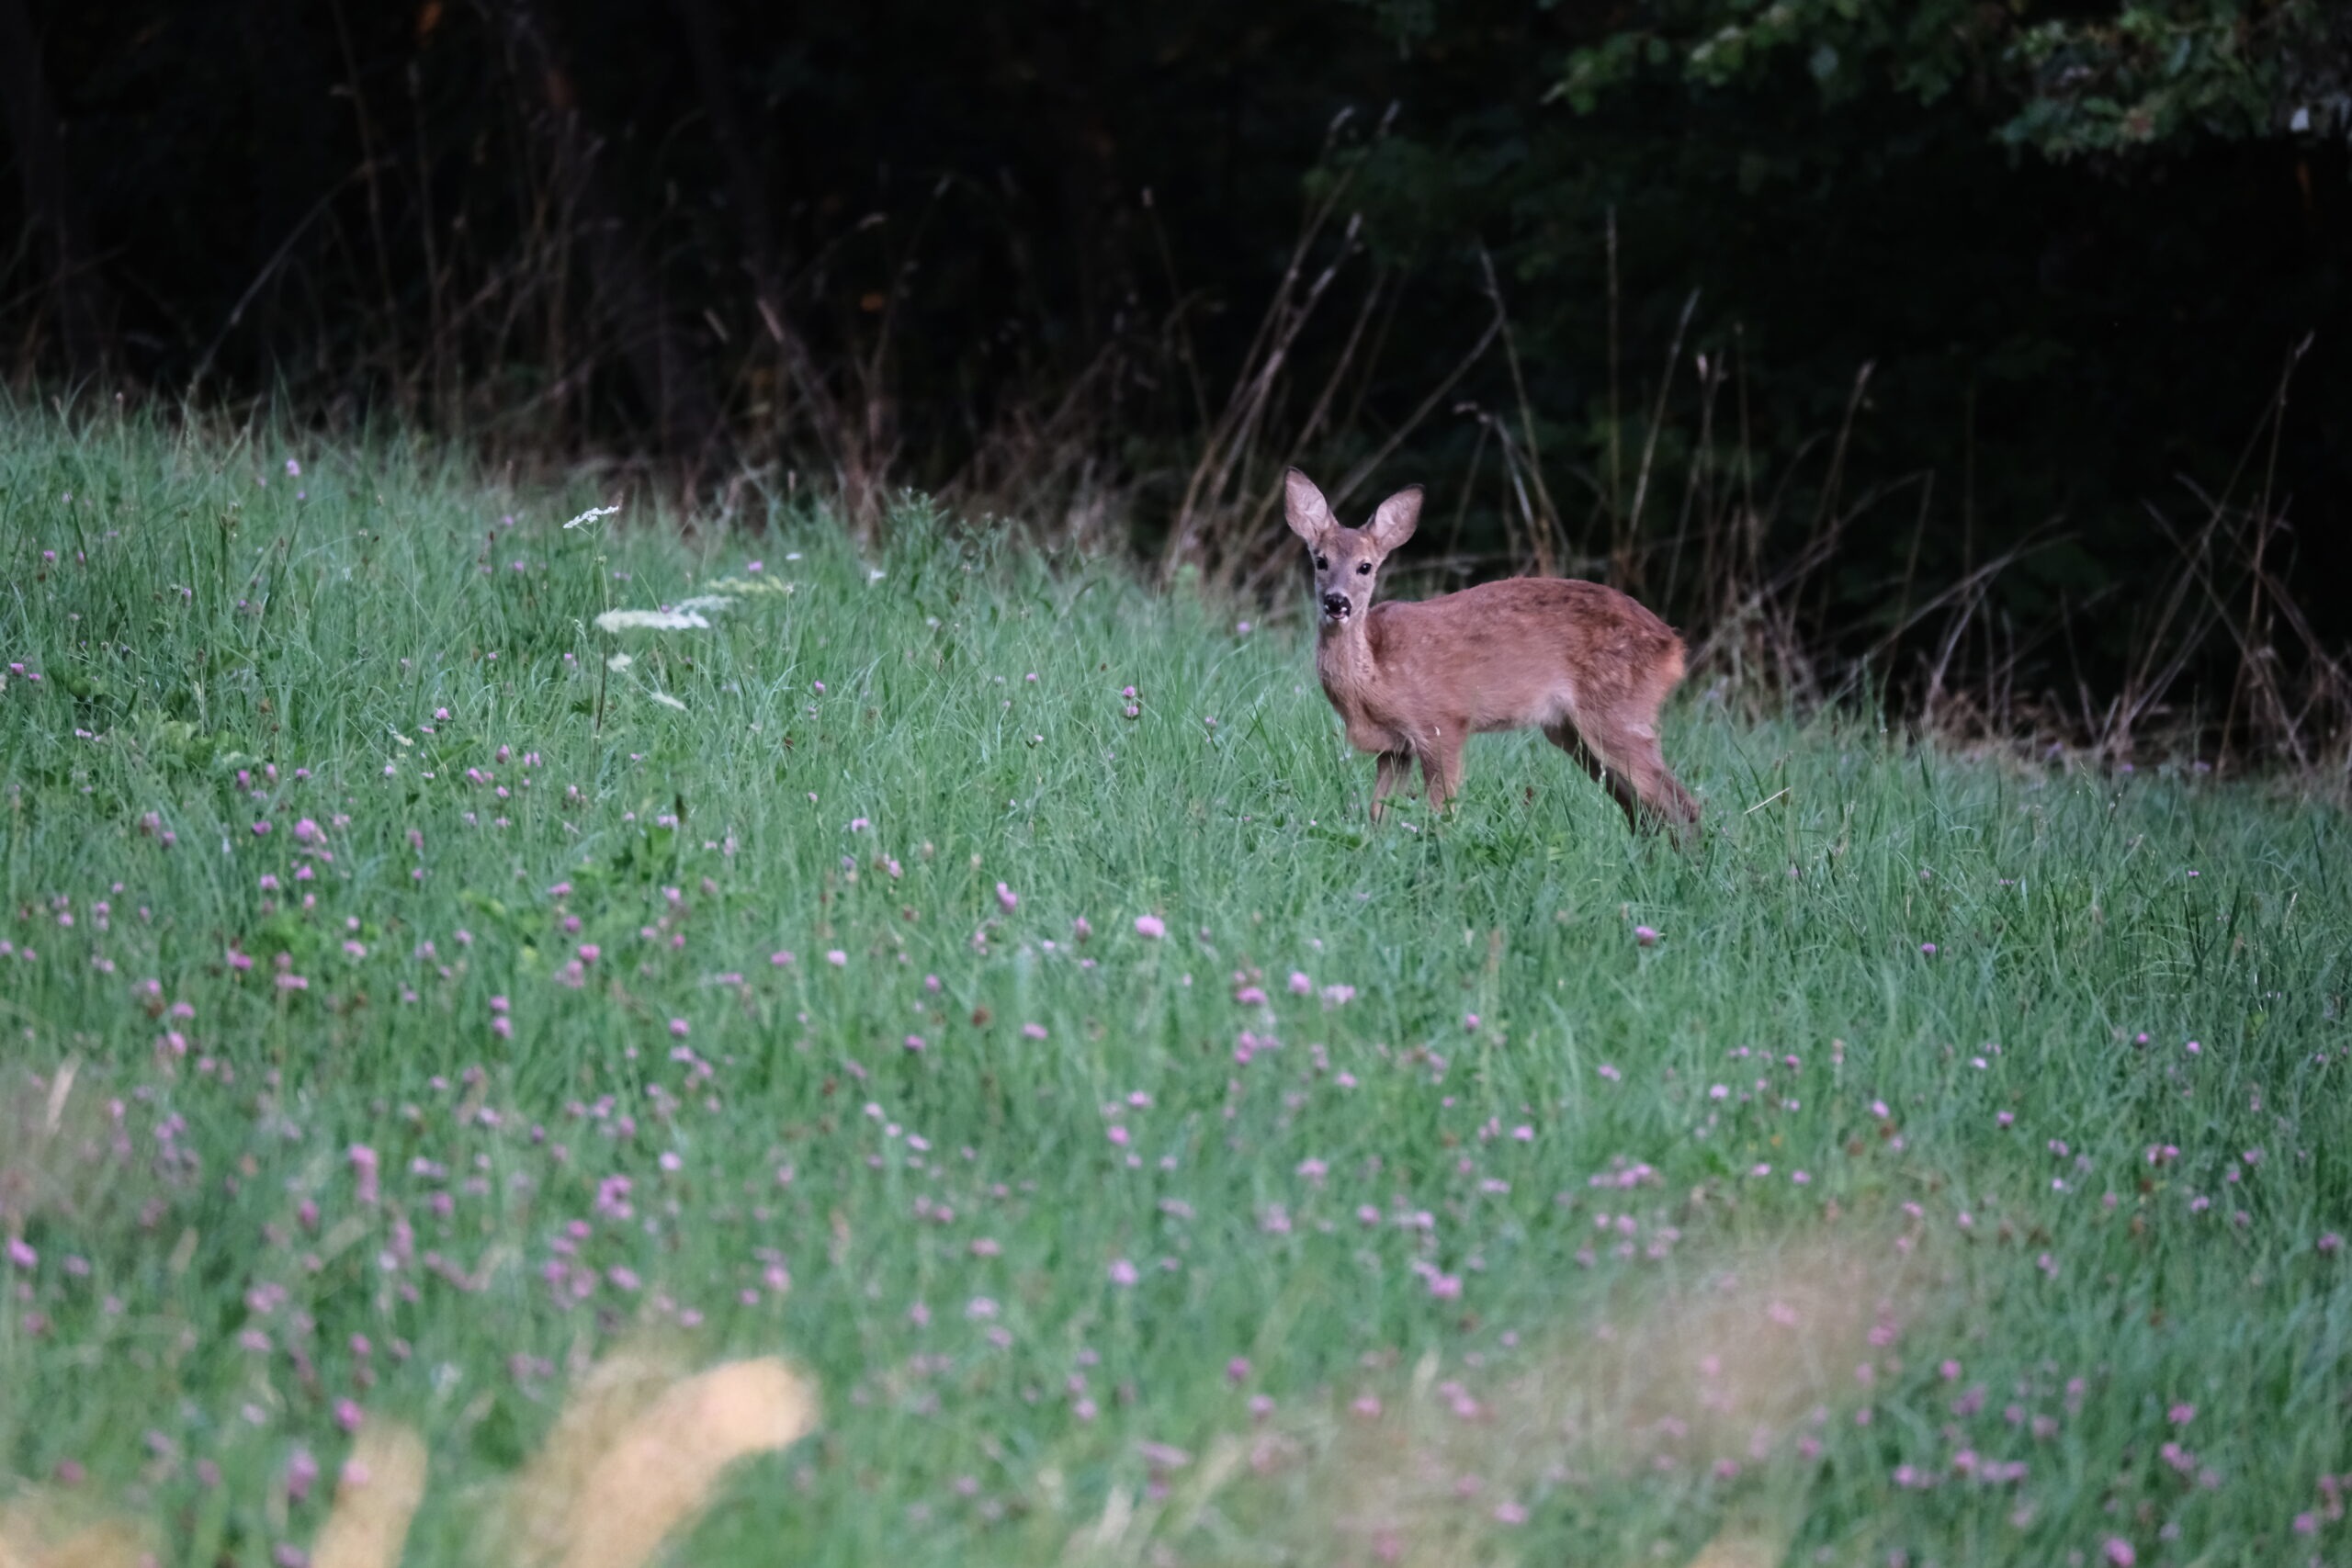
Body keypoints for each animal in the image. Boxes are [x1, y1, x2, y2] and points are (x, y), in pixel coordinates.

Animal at [1283, 468, 1699, 838]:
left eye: (1365, 567)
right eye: (1320, 561)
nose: (1337, 603)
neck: (1374, 676)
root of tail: (1674, 647)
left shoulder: (1444, 722)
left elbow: (1442, 811)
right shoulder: (1395, 747)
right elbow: (1378, 812)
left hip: (1617, 713)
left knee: (1679, 804)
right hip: (1571, 731)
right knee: (1641, 808)